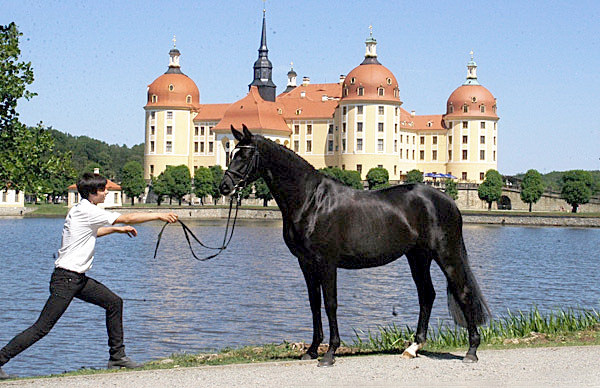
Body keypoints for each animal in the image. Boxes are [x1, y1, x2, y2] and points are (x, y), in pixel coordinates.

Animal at [218, 126, 490, 366]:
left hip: (447, 254)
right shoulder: (305, 263)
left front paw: (329, 353)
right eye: (232, 152)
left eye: (245, 155)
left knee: (463, 292)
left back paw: (471, 351)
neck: (311, 201)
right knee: (427, 295)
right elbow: (314, 304)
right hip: (418, 257)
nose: (224, 187)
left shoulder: (327, 262)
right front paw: (311, 350)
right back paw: (413, 348)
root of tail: (448, 200)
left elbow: (330, 304)